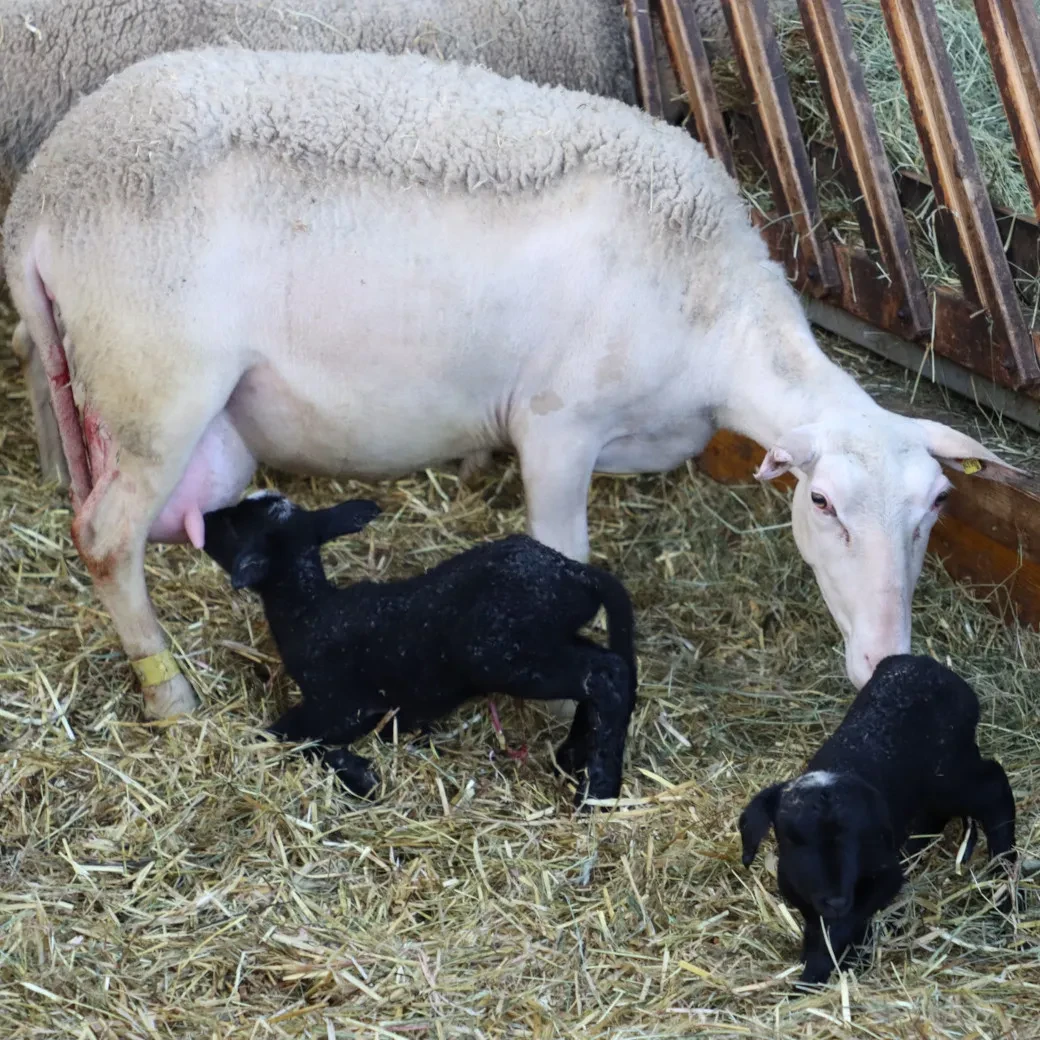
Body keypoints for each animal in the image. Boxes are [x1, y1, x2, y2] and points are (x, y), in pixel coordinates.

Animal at [0, 44, 1010, 719]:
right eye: (824, 505)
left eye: (933, 512)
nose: (885, 660)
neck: (710, 306)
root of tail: (42, 195)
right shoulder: (560, 428)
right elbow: (563, 552)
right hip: (154, 385)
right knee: (103, 537)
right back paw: (168, 690)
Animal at [199, 490, 636, 807]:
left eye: (235, 524)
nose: (203, 520)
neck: (309, 610)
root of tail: (578, 573)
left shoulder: (341, 706)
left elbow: (279, 736)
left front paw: (358, 775)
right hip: (547, 642)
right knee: (606, 669)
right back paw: (572, 756)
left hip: (508, 655)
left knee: (606, 675)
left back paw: (598, 791)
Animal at [740, 653, 1015, 985]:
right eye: (792, 838)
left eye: (856, 837)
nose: (835, 900)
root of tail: (927, 664)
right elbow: (819, 924)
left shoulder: (884, 877)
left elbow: (844, 926)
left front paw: (815, 974)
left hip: (948, 773)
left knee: (994, 788)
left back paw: (1005, 883)